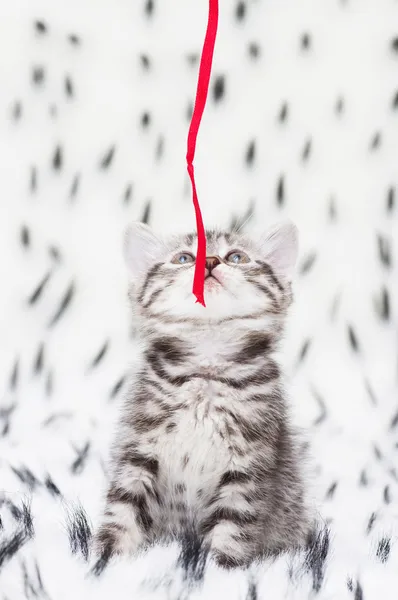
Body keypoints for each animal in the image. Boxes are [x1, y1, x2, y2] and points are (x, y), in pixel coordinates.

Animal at [94, 220, 310, 568]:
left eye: (236, 257)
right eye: (183, 258)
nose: (209, 261)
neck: (207, 367)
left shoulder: (249, 466)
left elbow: (232, 528)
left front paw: (217, 571)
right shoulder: (138, 449)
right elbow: (123, 509)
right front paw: (105, 561)